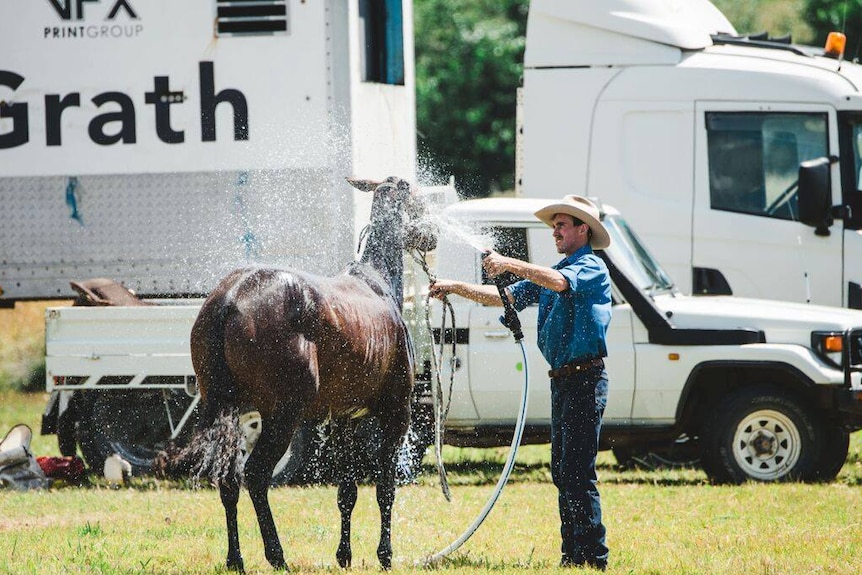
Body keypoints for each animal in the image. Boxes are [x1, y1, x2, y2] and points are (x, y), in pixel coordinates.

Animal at [165, 177, 438, 572]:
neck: (377, 281)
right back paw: (276, 555)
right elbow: (385, 488)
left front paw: (344, 555)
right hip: (284, 414)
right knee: (256, 476)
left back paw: (236, 559)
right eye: (418, 200)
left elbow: (347, 490)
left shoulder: (343, 419)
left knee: (229, 479)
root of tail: (230, 297)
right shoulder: (396, 414)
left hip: (226, 407)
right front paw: (384, 555)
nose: (433, 235)